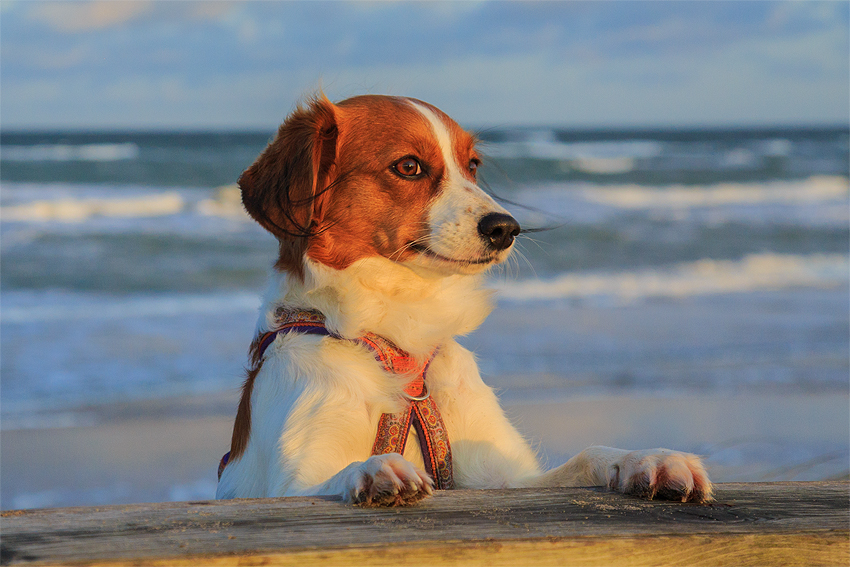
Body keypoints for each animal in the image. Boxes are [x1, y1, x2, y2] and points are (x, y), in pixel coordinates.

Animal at [215, 93, 712, 506]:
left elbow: (586, 456)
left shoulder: (501, 478)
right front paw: (373, 468)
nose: (506, 228)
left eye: (471, 165)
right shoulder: (289, 482)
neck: (401, 339)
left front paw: (644, 459)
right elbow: (331, 476)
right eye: (409, 166)